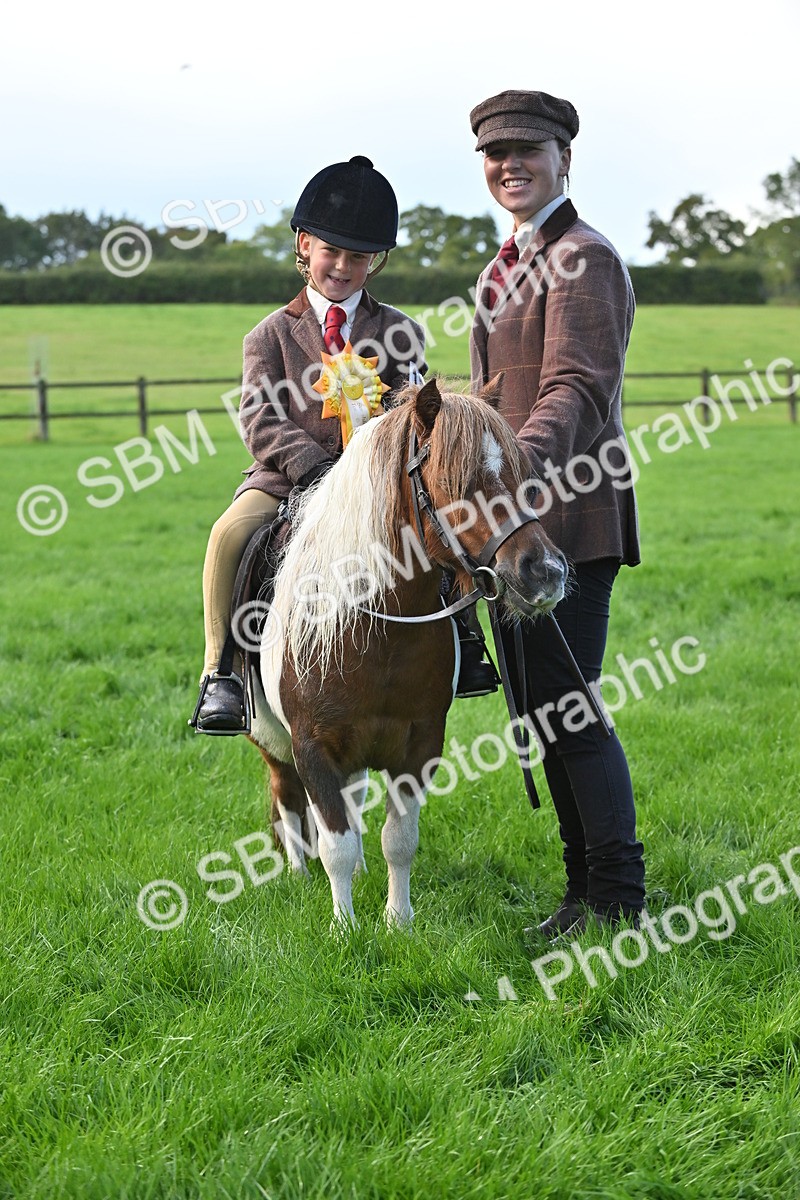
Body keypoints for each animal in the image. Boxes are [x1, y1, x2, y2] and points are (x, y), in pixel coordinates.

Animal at [245, 378, 568, 927]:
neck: (377, 635)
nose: (545, 572)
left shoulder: (420, 745)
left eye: (520, 473)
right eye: (455, 480)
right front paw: (345, 927)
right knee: (286, 796)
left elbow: (398, 839)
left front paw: (398, 921)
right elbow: (335, 844)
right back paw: (298, 873)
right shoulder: (312, 748)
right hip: (273, 740)